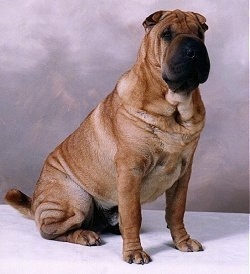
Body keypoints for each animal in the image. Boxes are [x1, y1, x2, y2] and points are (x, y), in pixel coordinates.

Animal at [4, 9, 210, 264]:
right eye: (167, 35)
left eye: (200, 33)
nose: (194, 50)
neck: (175, 109)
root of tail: (36, 203)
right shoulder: (131, 170)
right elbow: (133, 215)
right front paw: (134, 252)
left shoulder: (183, 173)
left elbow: (176, 211)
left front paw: (183, 241)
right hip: (77, 197)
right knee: (51, 230)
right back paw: (85, 235)